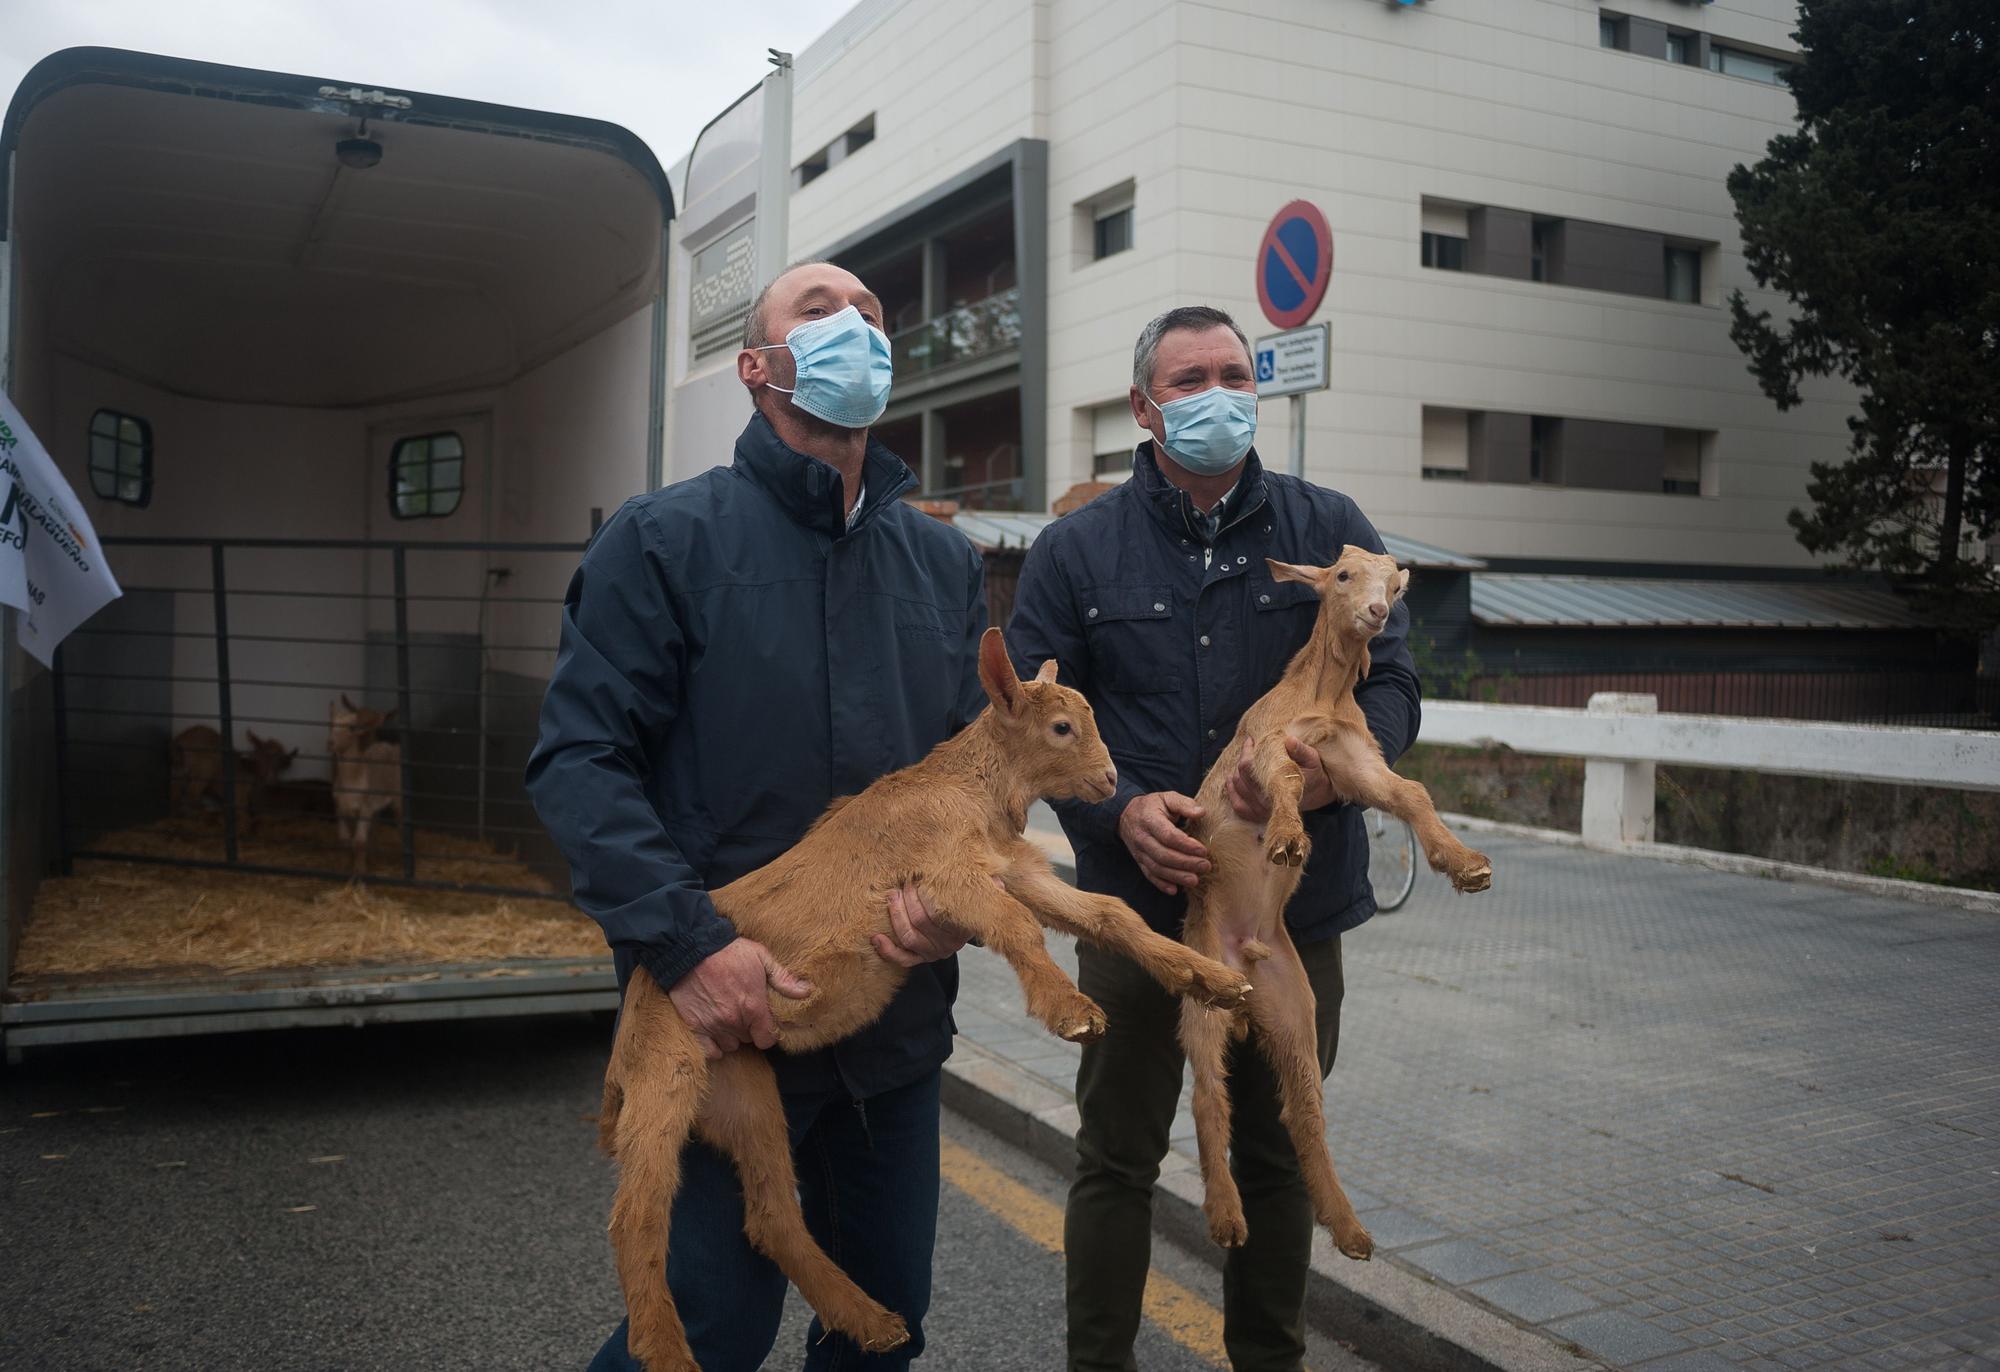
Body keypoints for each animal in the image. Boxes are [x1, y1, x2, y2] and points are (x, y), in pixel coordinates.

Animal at [1, 45, 672, 1056]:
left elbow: (364, 841)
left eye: (351, 730)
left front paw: (367, 883)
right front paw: (348, 887)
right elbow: (346, 849)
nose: (344, 744)